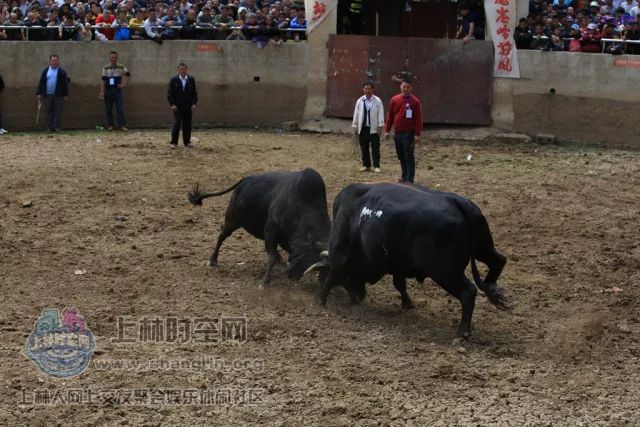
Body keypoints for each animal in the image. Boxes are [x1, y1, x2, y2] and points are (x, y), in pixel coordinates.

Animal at [188, 169, 330, 286]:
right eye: (308, 256)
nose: (292, 276)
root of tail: (245, 180)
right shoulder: (270, 229)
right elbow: (271, 256)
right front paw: (265, 282)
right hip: (233, 219)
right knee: (222, 235)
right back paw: (212, 260)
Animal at [304, 183, 510, 342]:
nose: (357, 298)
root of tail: (458, 203)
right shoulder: (398, 265)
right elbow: (399, 284)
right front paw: (407, 303)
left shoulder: (340, 256)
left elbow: (332, 277)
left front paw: (321, 300)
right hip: (484, 249)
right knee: (498, 261)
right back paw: (493, 289)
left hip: (446, 273)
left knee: (468, 293)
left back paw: (461, 334)